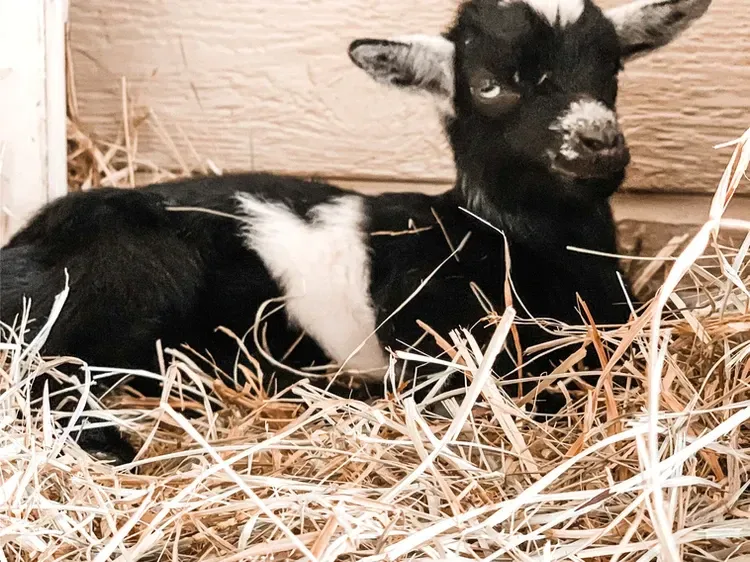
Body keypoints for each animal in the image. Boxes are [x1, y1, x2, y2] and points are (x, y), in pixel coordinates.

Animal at [0, 0, 711, 462]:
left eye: (612, 71)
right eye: (488, 85)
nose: (598, 143)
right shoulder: (438, 348)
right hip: (128, 280)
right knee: (44, 377)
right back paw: (111, 447)